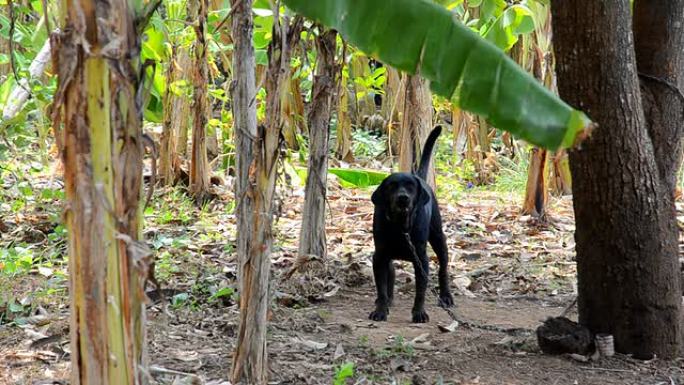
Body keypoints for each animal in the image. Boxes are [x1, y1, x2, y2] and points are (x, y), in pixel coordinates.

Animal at [368, 126, 454, 320]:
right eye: (392, 186)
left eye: (410, 186)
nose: (403, 198)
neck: (401, 227)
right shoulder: (380, 256)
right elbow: (381, 288)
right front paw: (380, 310)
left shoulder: (421, 260)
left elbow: (420, 291)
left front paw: (419, 313)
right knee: (390, 275)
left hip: (438, 238)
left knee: (443, 268)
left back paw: (446, 295)